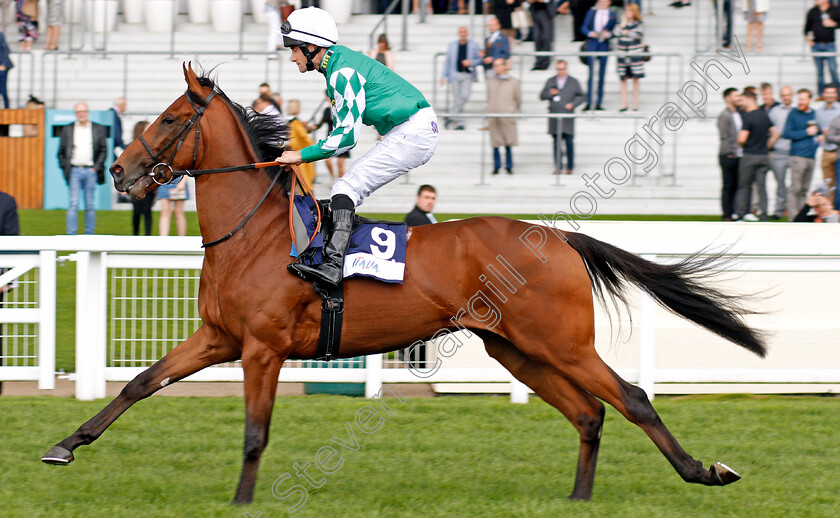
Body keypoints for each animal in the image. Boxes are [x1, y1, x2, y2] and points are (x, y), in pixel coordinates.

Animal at [44, 66, 768, 508]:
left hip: (561, 342)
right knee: (590, 413)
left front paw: (244, 501)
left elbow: (254, 431)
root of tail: (557, 238)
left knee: (633, 398)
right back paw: (578, 499)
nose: (117, 169)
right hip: (517, 348)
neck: (254, 235)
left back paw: (704, 470)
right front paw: (63, 446)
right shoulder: (220, 338)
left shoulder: (262, 348)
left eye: (170, 119)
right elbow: (139, 384)